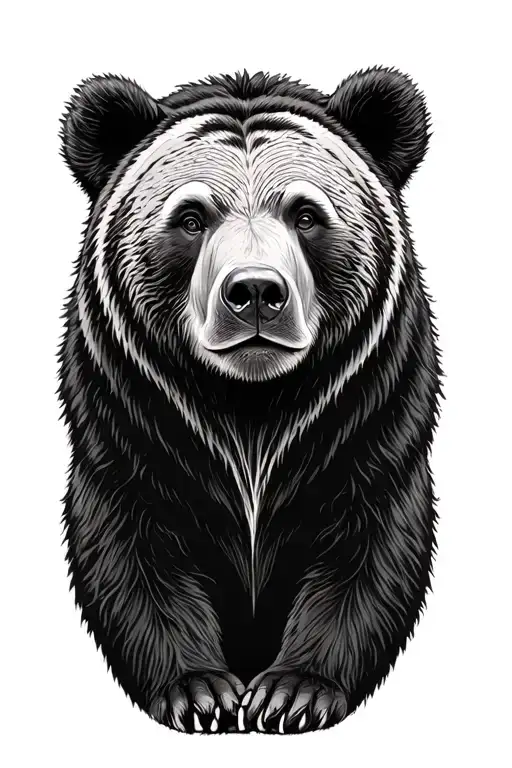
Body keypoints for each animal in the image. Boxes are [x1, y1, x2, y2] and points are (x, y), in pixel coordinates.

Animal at [59, 67, 441, 735]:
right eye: (191, 216)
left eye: (306, 214)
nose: (257, 292)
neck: (251, 407)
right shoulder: (132, 420)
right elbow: (134, 546)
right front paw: (200, 693)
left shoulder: (368, 417)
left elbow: (367, 545)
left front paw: (292, 693)